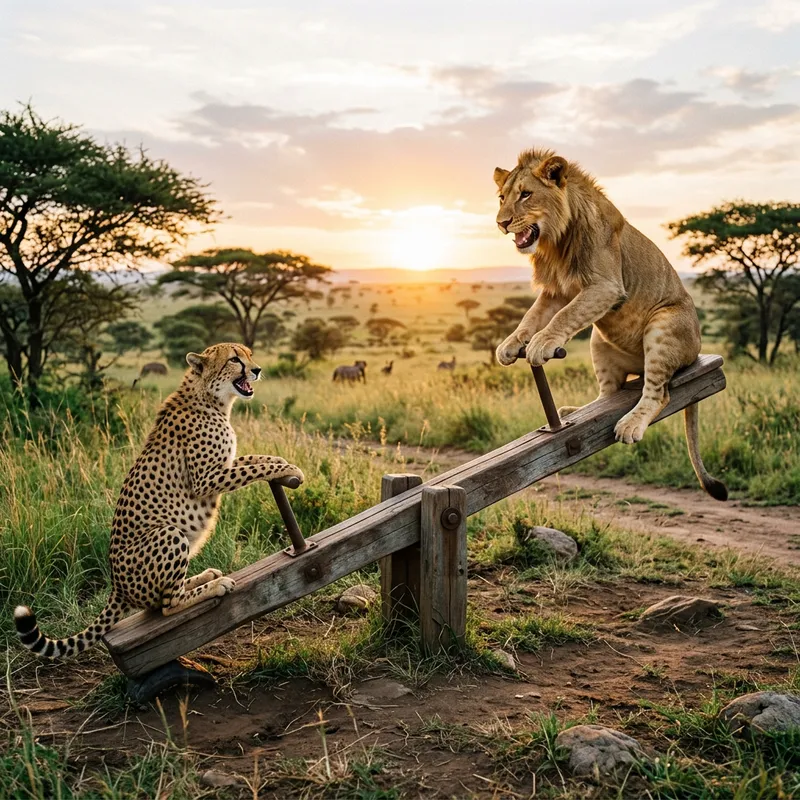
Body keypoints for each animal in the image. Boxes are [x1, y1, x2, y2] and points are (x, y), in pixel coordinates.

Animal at [14, 343, 305, 659]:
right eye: (234, 359)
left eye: (249, 354)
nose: (257, 369)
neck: (211, 398)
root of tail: (117, 587)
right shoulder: (206, 479)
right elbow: (254, 468)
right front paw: (290, 469)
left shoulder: (223, 465)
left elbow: (256, 459)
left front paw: (284, 463)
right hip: (170, 533)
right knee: (168, 605)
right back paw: (214, 585)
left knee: (164, 596)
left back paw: (204, 576)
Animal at [493, 148, 727, 501]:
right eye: (501, 197)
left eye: (526, 194)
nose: (501, 223)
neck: (555, 242)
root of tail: (698, 352)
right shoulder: (557, 291)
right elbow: (532, 317)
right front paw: (511, 344)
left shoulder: (606, 286)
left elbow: (563, 316)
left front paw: (541, 344)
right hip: (598, 344)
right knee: (607, 395)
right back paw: (571, 413)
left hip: (662, 325)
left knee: (658, 393)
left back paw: (630, 424)